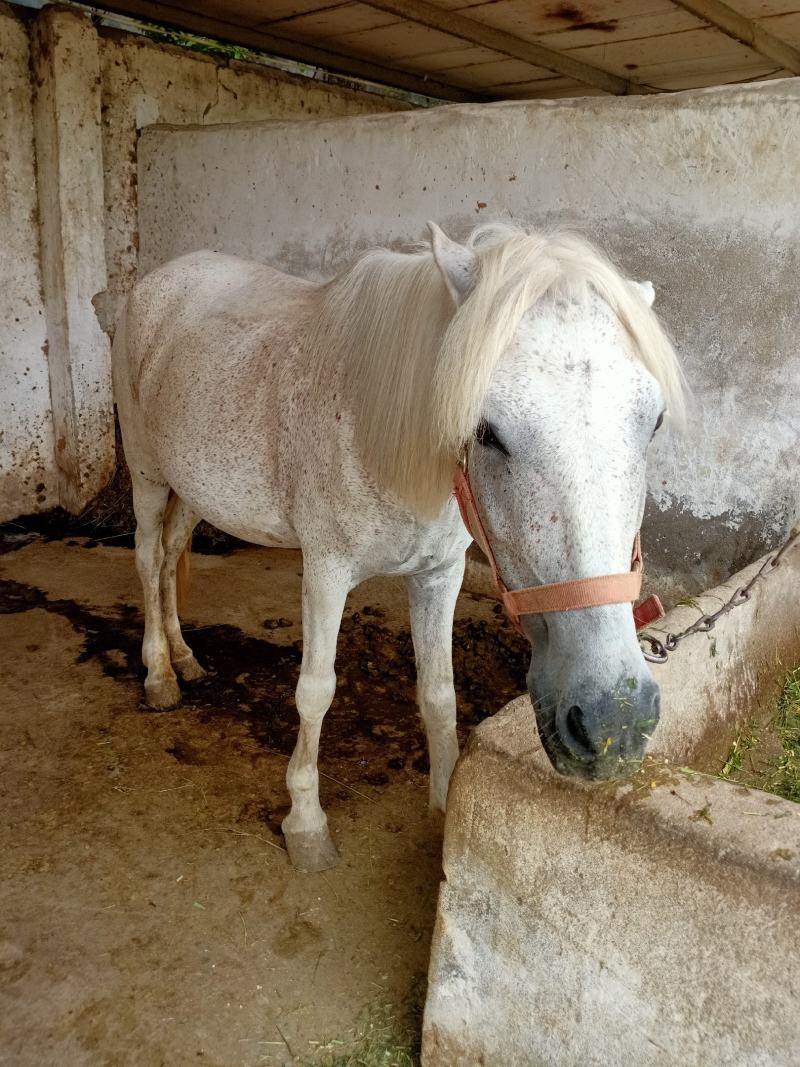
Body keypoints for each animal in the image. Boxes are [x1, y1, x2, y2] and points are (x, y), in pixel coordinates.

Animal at [112, 222, 685, 872]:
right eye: (485, 431)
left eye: (653, 421)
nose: (615, 718)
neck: (373, 426)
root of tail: (158, 281)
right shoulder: (326, 572)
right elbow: (315, 692)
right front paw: (305, 824)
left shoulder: (439, 575)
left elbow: (438, 693)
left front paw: (443, 807)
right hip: (148, 475)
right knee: (147, 559)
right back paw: (159, 676)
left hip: (193, 488)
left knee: (168, 561)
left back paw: (184, 658)